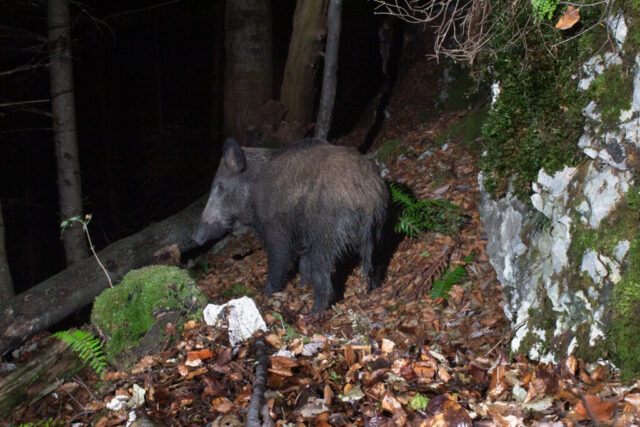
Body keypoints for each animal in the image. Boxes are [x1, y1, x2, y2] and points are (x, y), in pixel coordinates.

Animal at [194, 138, 388, 312]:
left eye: (220, 187)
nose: (196, 238)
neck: (253, 190)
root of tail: (367, 195)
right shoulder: (302, 236)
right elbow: (303, 264)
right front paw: (302, 286)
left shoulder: (276, 232)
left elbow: (278, 262)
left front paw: (267, 296)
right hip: (377, 231)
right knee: (375, 266)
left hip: (326, 238)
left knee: (324, 280)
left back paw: (312, 313)